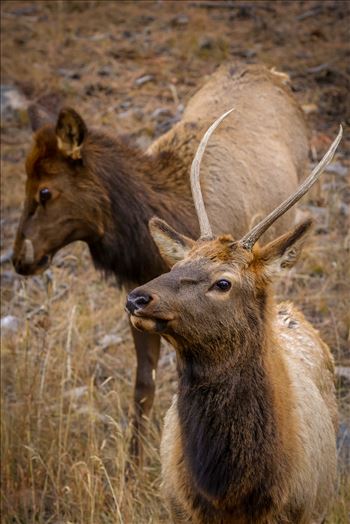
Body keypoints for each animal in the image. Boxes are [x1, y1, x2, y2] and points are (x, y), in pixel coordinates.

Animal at [13, 63, 308, 460]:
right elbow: (143, 386)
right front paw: (132, 461)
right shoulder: (137, 300)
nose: (19, 258)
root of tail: (271, 71)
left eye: (45, 191)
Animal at [126, 118, 342, 524]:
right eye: (175, 266)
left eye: (223, 282)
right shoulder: (178, 509)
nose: (136, 298)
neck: (232, 493)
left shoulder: (304, 509)